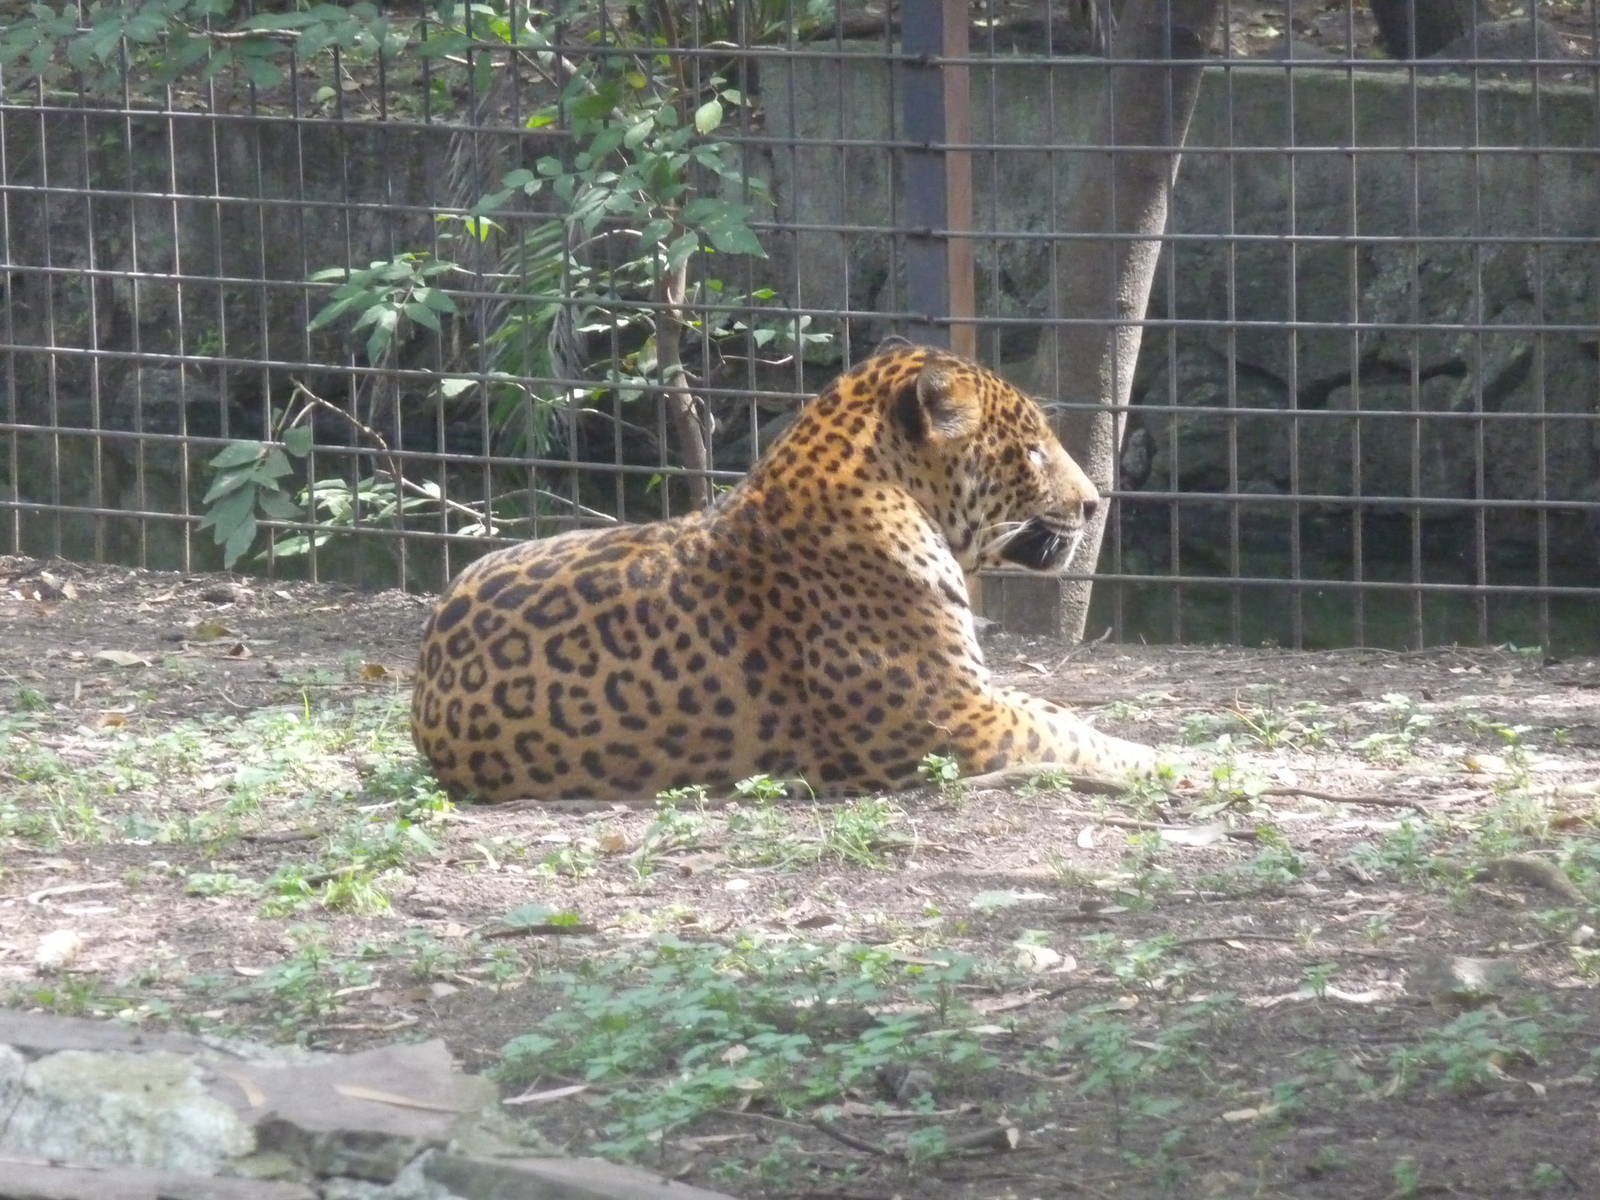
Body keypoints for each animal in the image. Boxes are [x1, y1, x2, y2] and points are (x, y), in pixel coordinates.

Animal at [410, 339, 1159, 802]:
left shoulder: (978, 699)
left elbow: (1063, 716)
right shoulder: (960, 718)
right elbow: (1069, 738)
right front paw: (1170, 762)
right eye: (1030, 450)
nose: (1094, 504)